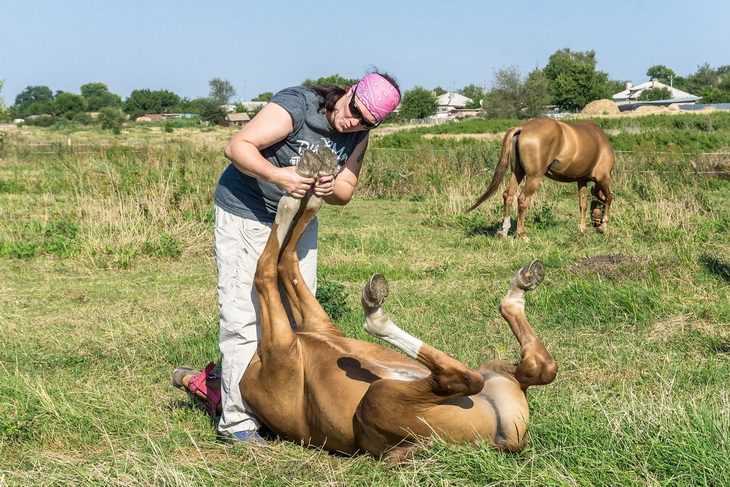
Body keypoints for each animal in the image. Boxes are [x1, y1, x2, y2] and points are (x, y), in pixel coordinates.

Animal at [173, 149, 556, 466]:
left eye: (203, 383)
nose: (180, 376)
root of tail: (502, 442)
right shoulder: (286, 344)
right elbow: (273, 267)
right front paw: (305, 187)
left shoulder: (298, 334)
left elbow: (277, 265)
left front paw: (309, 187)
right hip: (390, 394)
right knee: (507, 371)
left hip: (403, 385)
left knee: (509, 370)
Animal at [464, 118, 612, 240]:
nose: (596, 226)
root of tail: (522, 128)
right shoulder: (603, 178)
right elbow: (608, 198)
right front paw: (604, 226)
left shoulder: (581, 180)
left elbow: (583, 204)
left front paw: (583, 229)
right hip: (534, 177)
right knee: (522, 199)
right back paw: (522, 235)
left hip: (517, 173)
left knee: (508, 195)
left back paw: (504, 231)